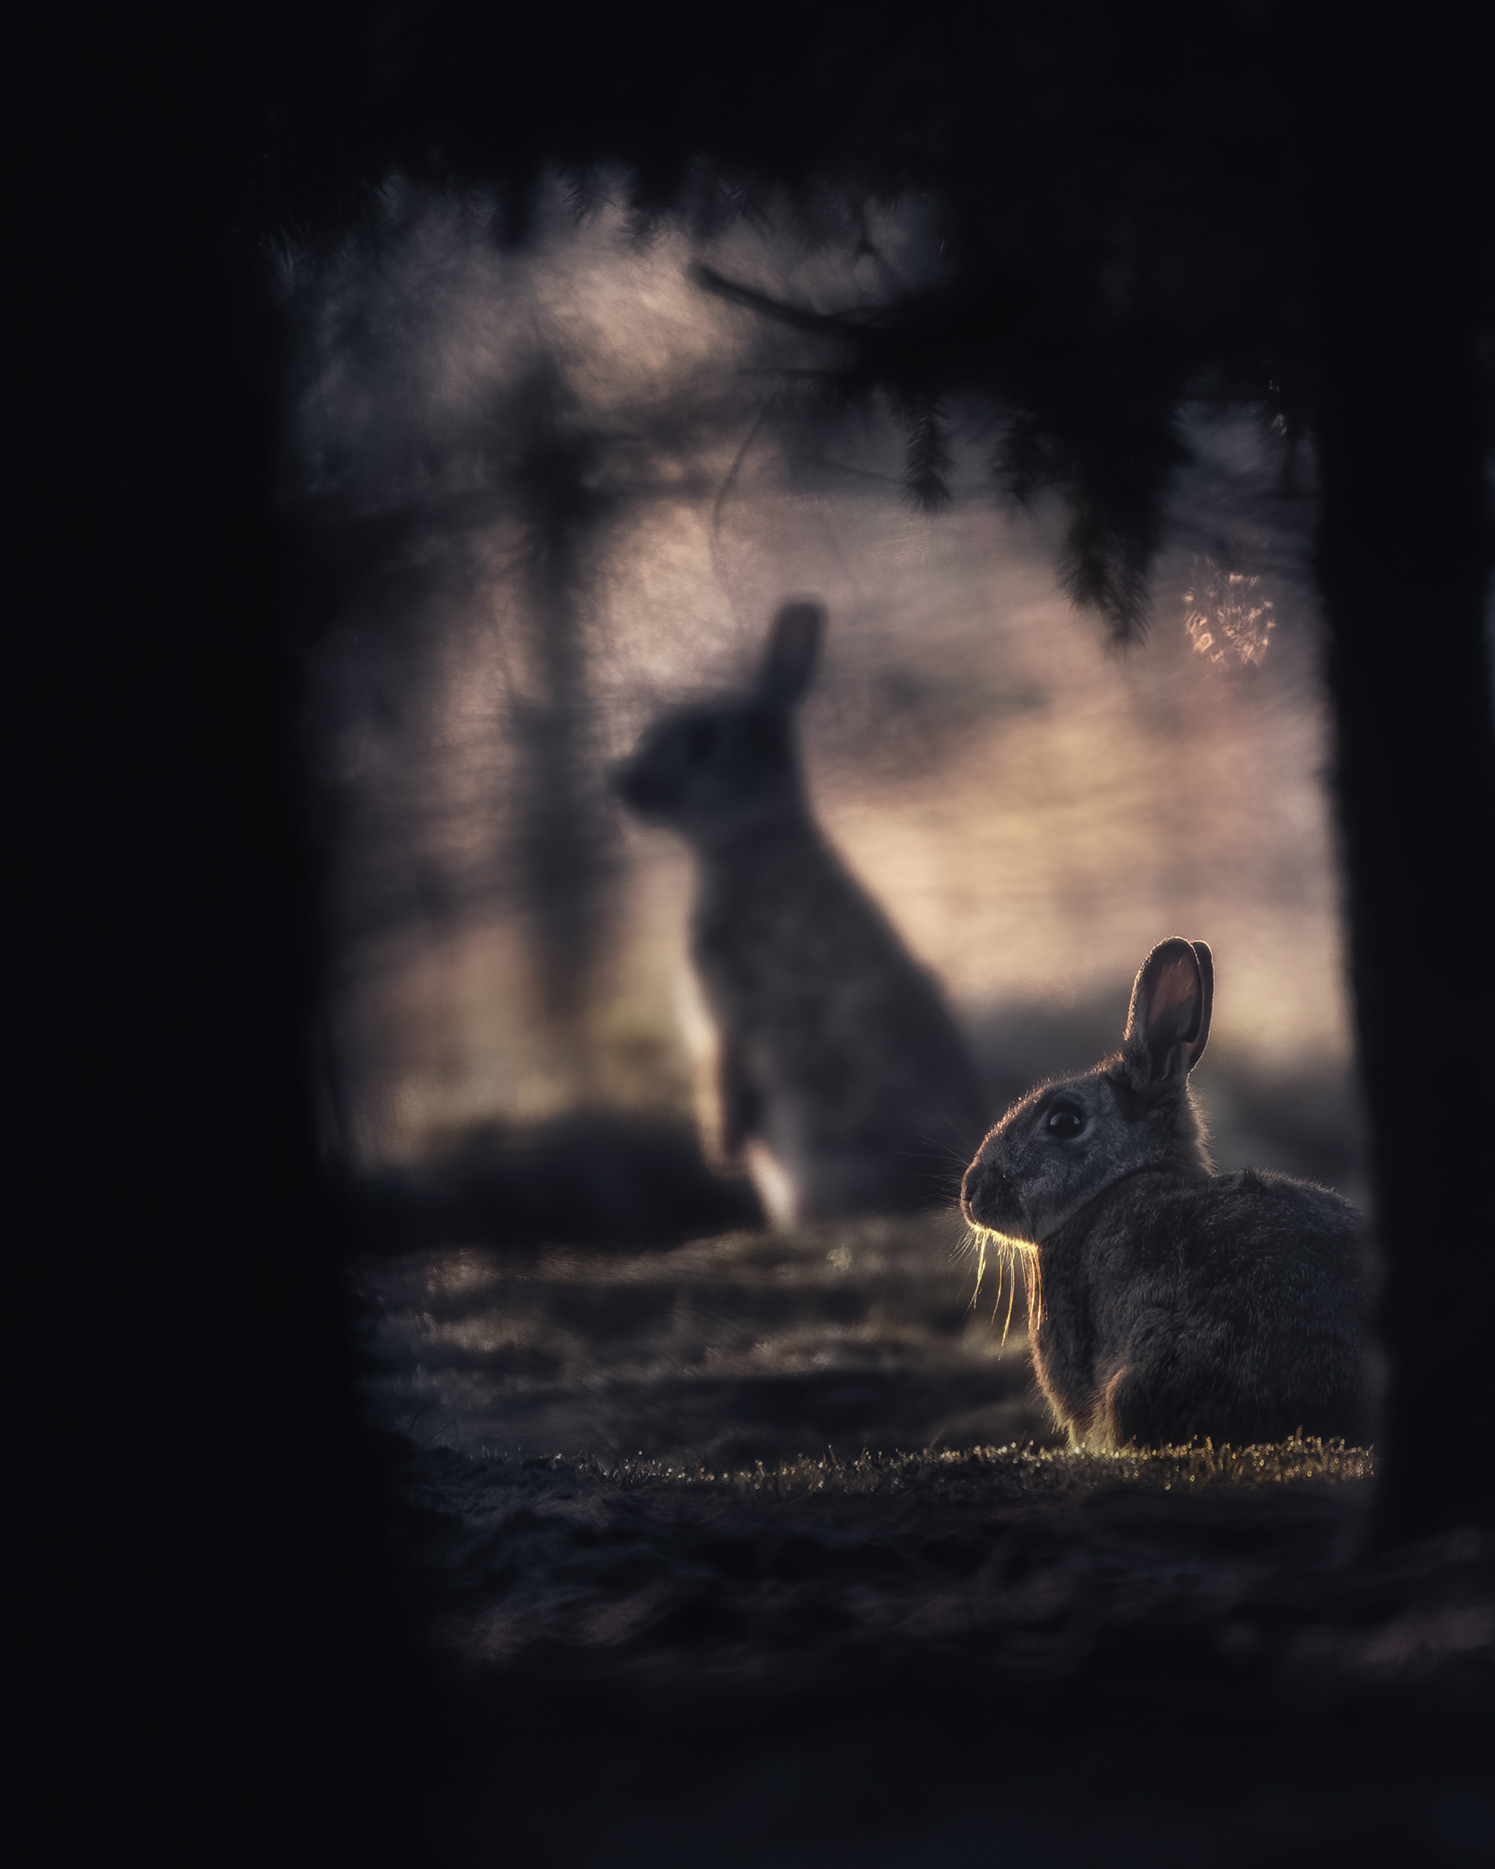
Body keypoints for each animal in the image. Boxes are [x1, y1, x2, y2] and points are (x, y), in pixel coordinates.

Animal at [613, 598, 986, 1225]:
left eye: (703, 739)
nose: (620, 782)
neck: (753, 840)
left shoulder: (729, 1010)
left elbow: (724, 1074)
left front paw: (720, 1153)